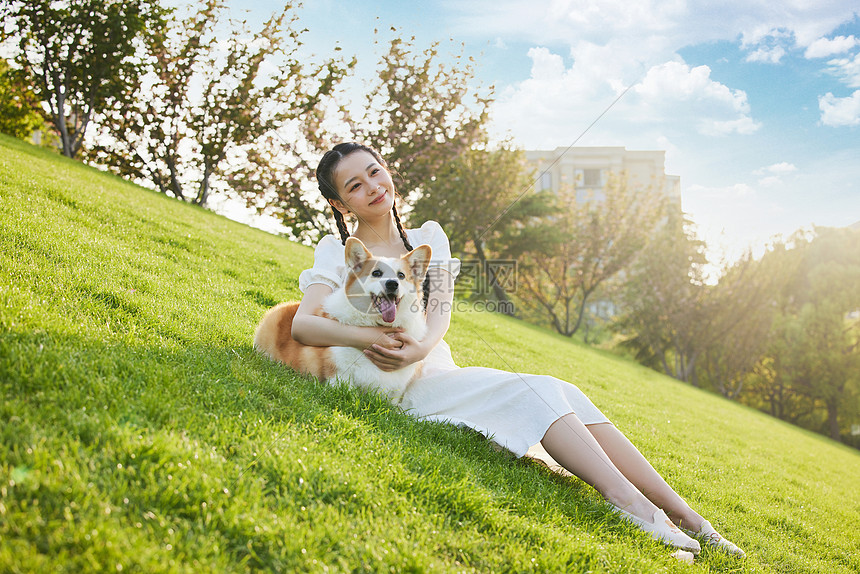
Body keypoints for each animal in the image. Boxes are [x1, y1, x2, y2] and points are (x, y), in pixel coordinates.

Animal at [254, 236, 430, 402]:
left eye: (401, 276)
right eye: (376, 273)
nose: (392, 284)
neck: (376, 323)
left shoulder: (396, 387)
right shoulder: (339, 371)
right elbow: (345, 389)